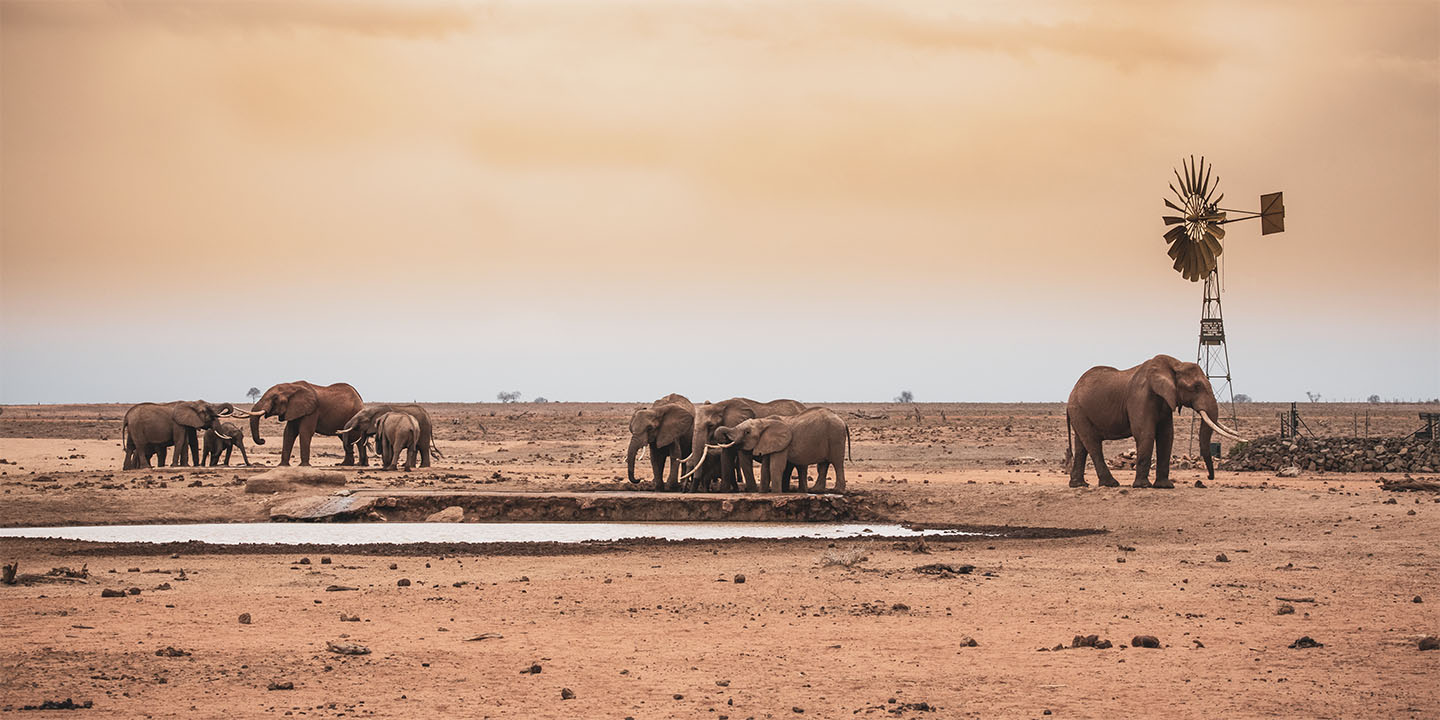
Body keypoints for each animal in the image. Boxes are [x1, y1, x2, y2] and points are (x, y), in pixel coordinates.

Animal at [676, 397, 806, 492]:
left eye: (711, 425)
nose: (686, 491)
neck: (721, 405)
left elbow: (743, 458)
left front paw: (752, 492)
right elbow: (726, 457)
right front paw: (725, 492)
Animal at [711, 408, 846, 492]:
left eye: (747, 432)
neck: (764, 422)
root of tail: (842, 420)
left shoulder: (782, 444)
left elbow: (776, 466)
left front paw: (775, 493)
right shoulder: (767, 443)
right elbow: (765, 468)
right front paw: (762, 493)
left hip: (836, 436)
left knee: (837, 463)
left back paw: (837, 491)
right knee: (823, 464)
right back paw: (815, 490)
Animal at [1059, 354, 1249, 489]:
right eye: (1196, 387)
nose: (1209, 478)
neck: (1174, 365)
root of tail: (1072, 392)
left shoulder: (1166, 401)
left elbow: (1166, 436)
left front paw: (1165, 486)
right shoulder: (1140, 396)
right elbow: (1145, 433)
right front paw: (1143, 486)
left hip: (1080, 412)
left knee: (1081, 446)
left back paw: (1079, 485)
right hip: (1079, 410)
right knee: (1093, 444)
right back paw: (1110, 484)